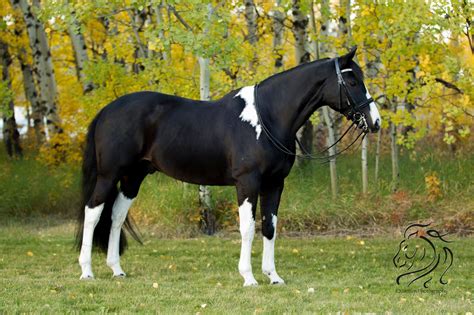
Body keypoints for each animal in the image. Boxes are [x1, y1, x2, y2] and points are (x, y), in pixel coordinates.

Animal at [77, 46, 382, 286]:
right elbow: (247, 228)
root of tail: (106, 111)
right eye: (352, 81)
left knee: (116, 216)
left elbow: (269, 226)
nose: (375, 121)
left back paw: (117, 270)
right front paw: (248, 277)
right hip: (109, 175)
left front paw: (273, 276)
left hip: (133, 177)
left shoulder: (275, 183)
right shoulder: (247, 182)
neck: (266, 118)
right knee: (92, 213)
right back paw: (87, 271)